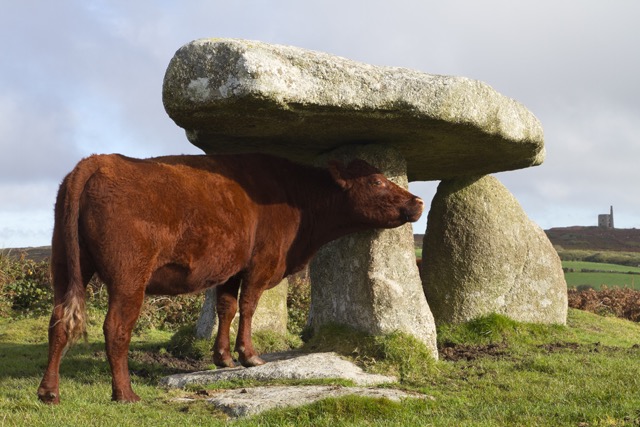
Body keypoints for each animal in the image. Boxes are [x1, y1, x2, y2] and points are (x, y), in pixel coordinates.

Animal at [37, 152, 423, 404]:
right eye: (376, 180)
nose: (418, 201)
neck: (297, 199)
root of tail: (97, 161)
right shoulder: (261, 265)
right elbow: (248, 306)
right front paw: (249, 355)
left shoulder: (230, 269)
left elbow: (226, 307)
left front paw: (222, 357)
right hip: (129, 277)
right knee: (116, 328)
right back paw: (126, 394)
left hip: (65, 268)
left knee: (59, 321)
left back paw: (49, 391)